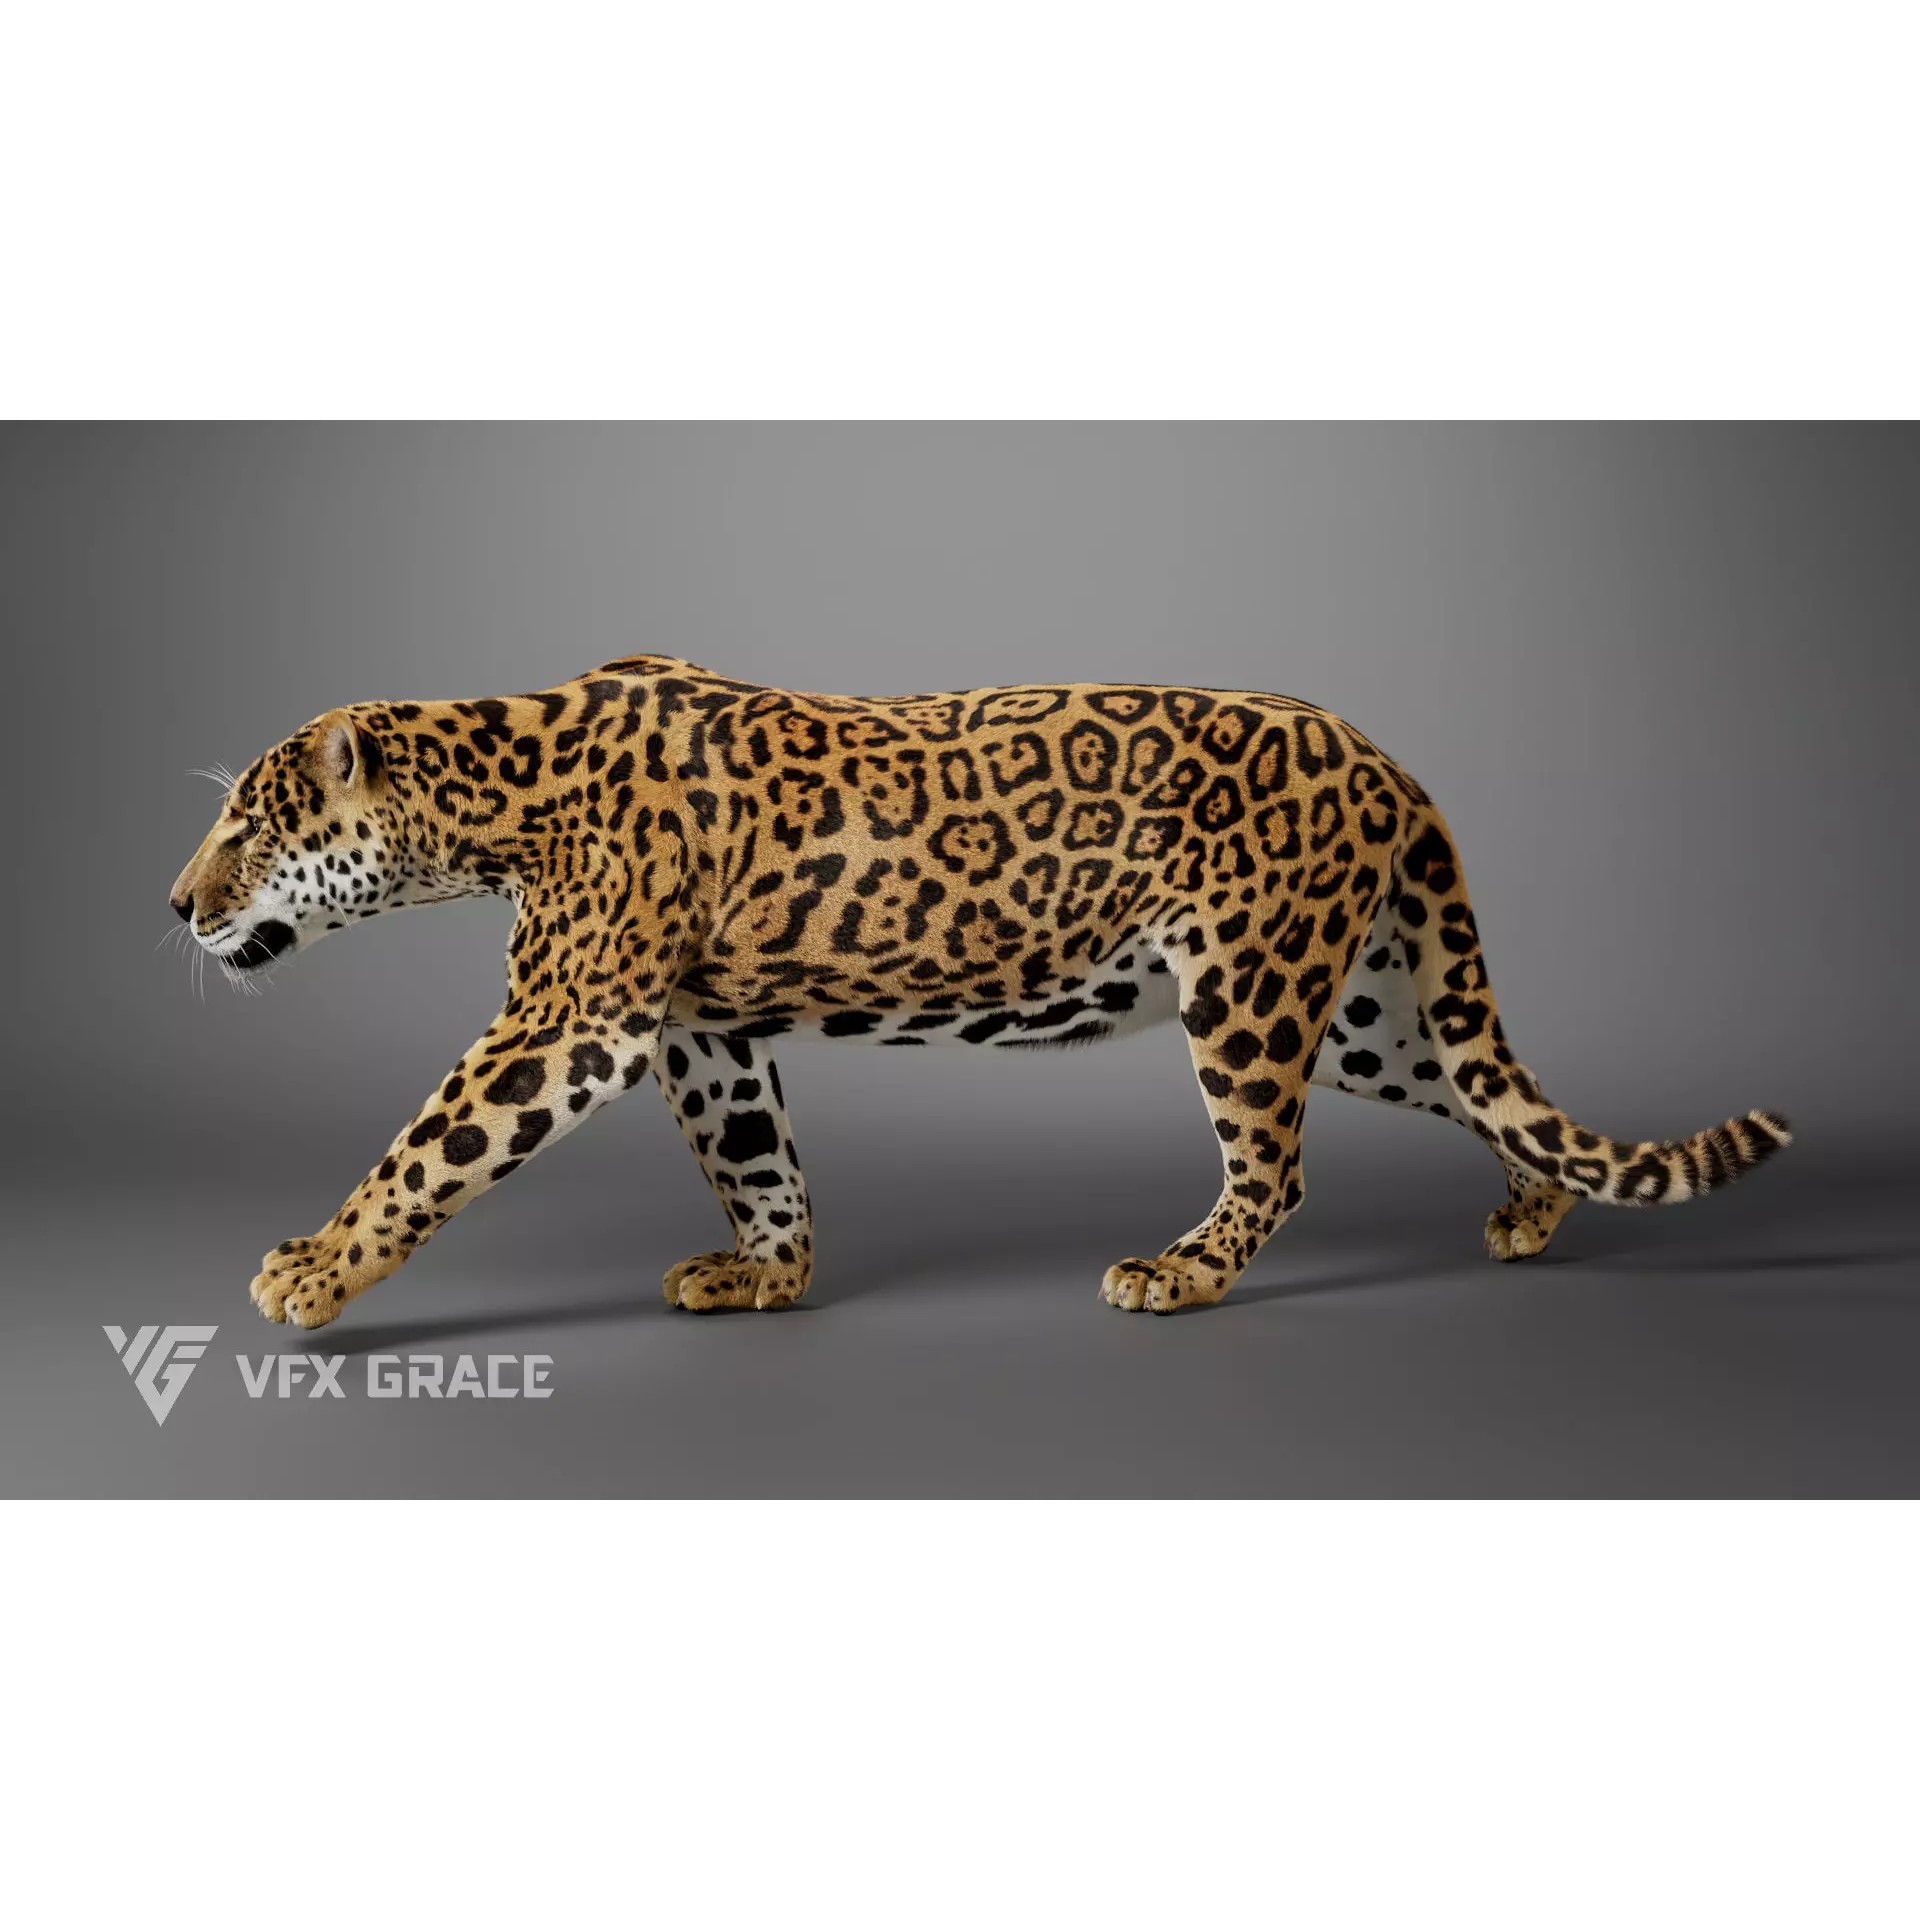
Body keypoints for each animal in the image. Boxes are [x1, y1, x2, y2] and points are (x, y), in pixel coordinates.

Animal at [168, 656, 1792, 1326]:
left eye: (246, 821)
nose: (176, 904)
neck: (493, 796)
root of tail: (1385, 754)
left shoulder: (567, 1025)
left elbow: (423, 1150)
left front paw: (310, 1272)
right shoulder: (700, 1029)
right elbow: (756, 1160)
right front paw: (769, 1277)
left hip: (1250, 987)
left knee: (1274, 1168)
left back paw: (1180, 1275)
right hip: (1363, 1010)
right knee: (1480, 1086)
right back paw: (1532, 1214)